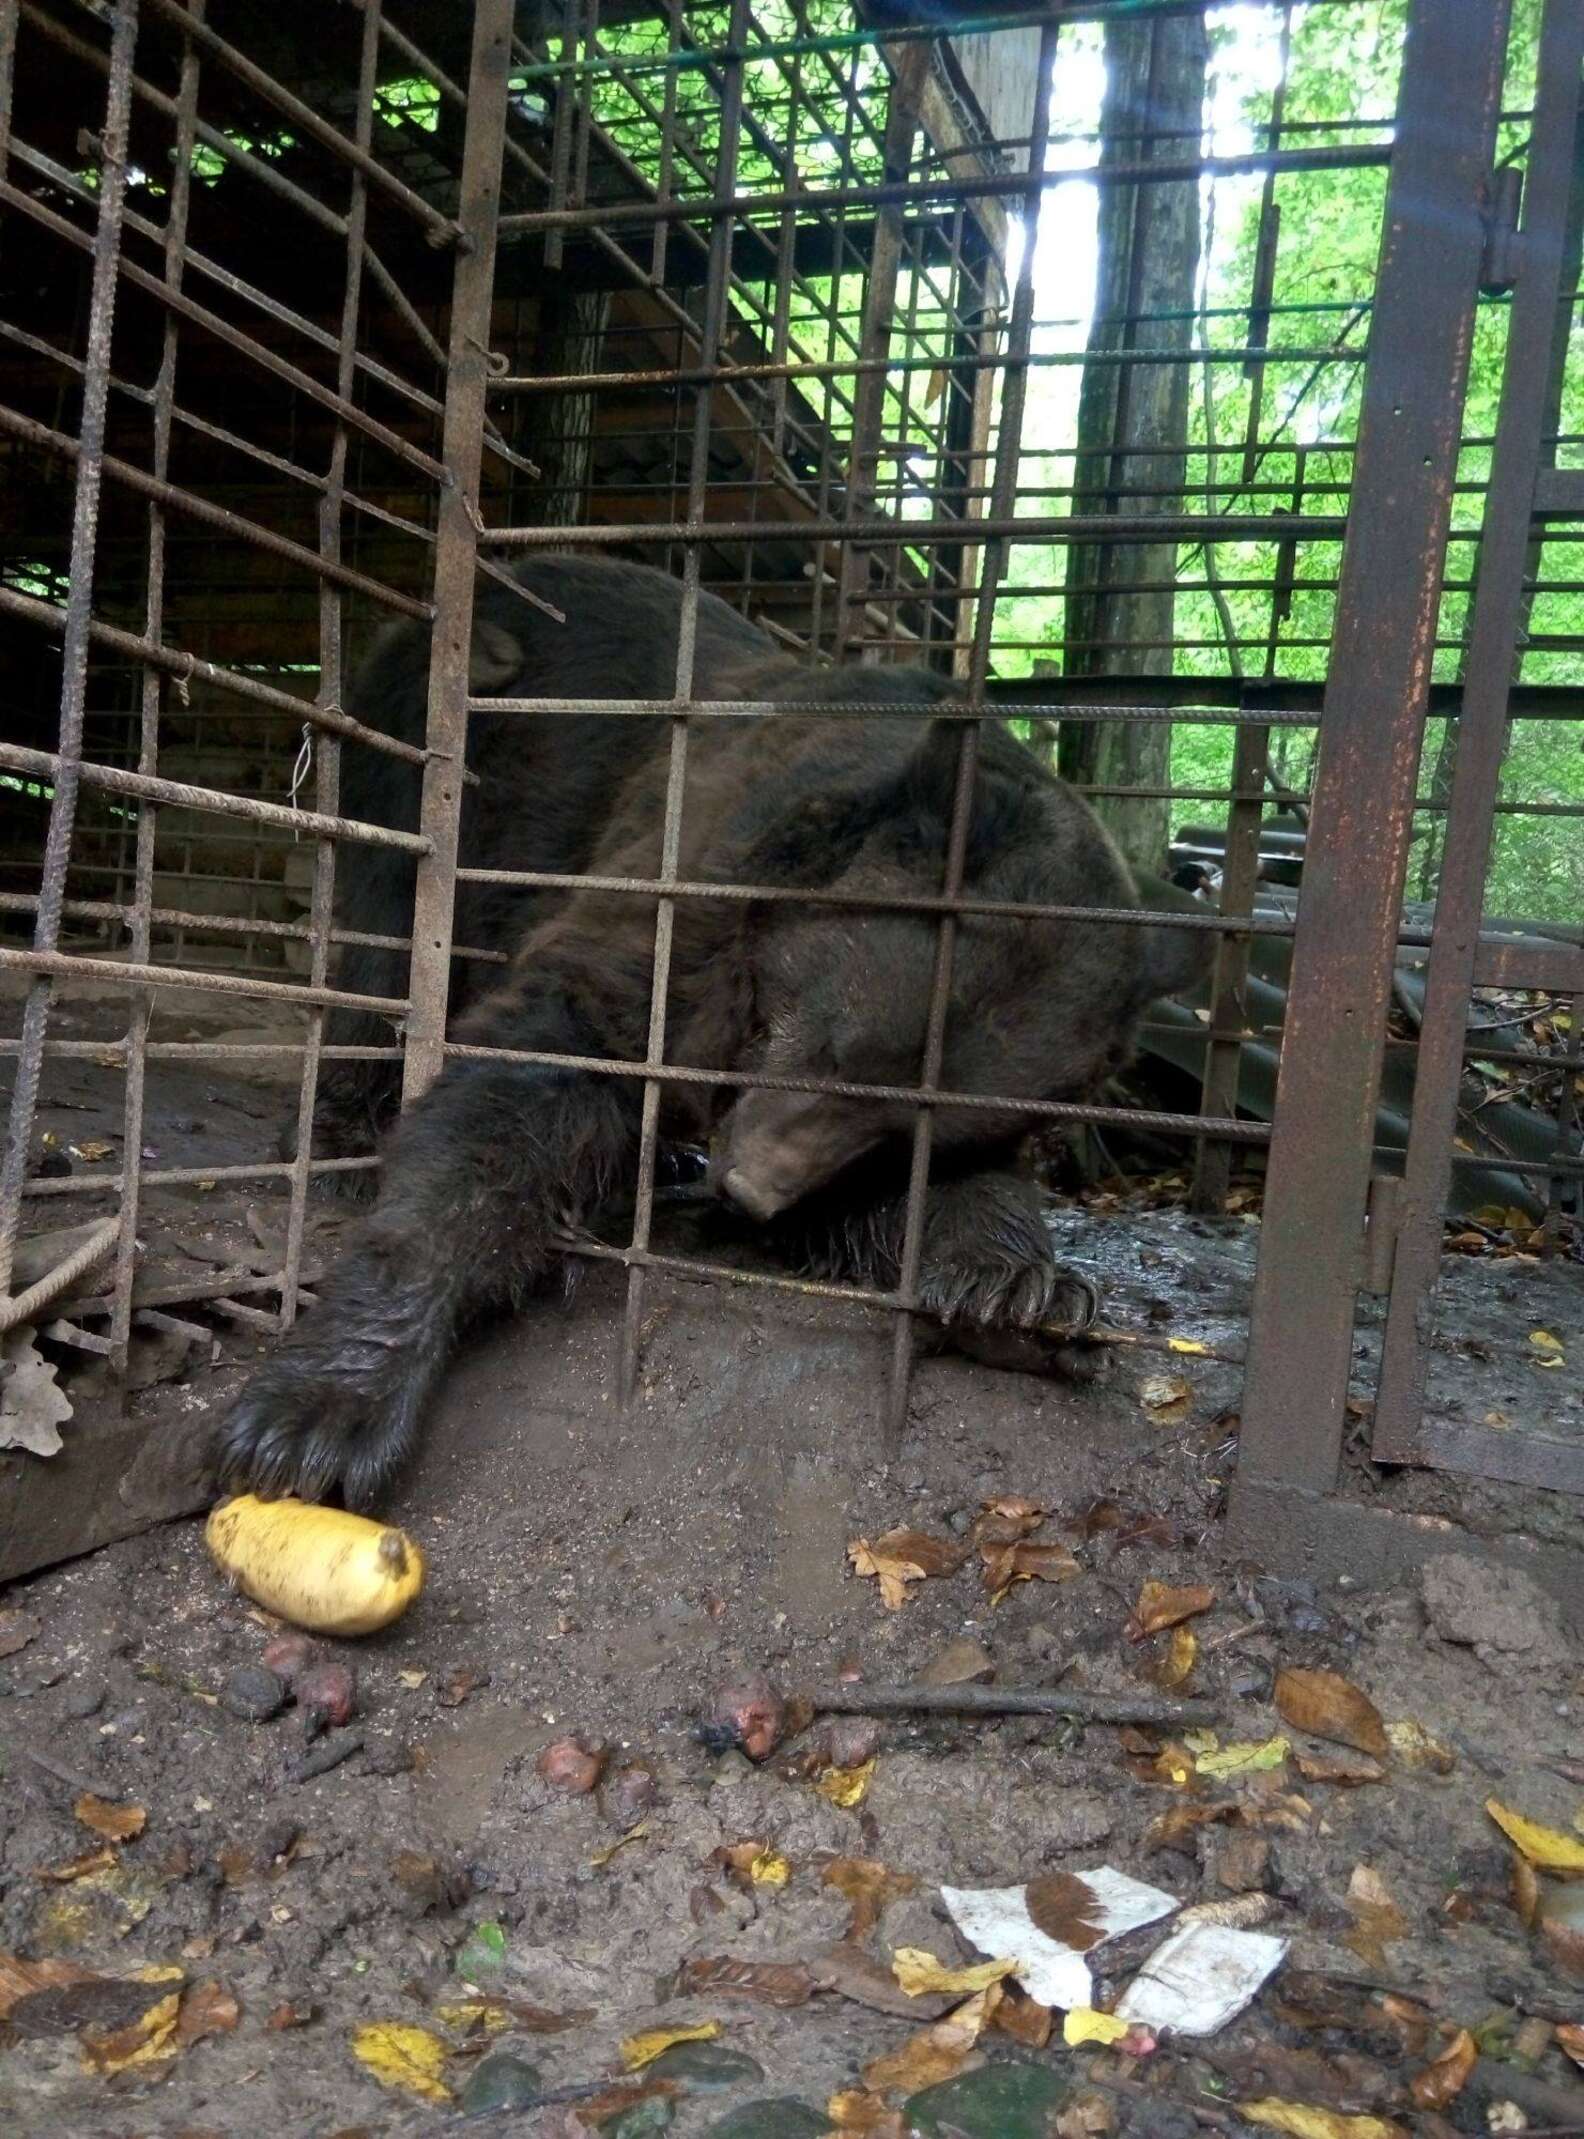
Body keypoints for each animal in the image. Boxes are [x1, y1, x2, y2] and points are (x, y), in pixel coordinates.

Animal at [219, 547, 1197, 1505]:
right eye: (838, 1044)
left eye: (905, 1126)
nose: (748, 1186)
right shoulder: (689, 891)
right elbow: (540, 1069)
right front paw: (321, 1408)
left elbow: (916, 1199)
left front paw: (1029, 1296)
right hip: (422, 762)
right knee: (383, 925)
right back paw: (348, 1125)